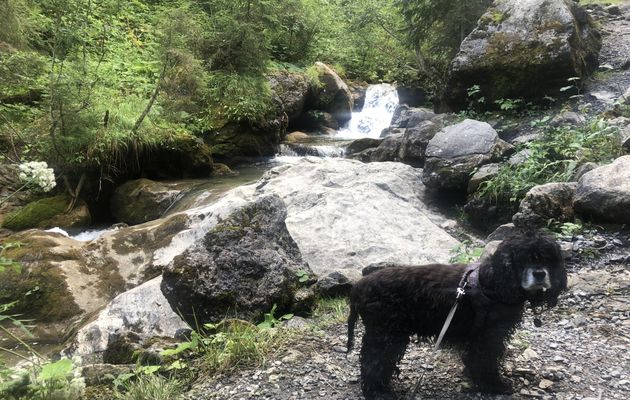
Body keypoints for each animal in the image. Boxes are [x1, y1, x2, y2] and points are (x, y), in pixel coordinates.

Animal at [348, 233, 572, 398]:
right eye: (522, 259)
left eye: (548, 259)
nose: (540, 274)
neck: (494, 283)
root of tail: (360, 286)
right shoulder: (488, 336)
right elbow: (484, 361)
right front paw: (493, 385)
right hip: (386, 335)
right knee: (373, 363)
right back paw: (379, 393)